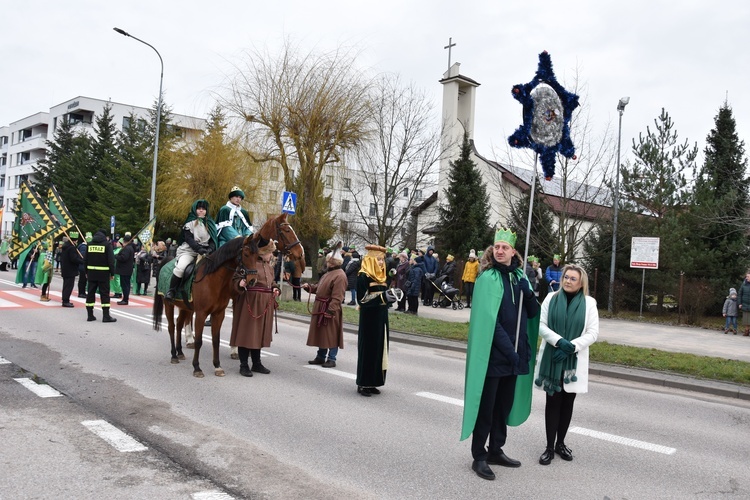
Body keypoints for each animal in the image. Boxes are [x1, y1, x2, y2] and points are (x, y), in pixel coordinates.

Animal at [153, 236, 262, 376]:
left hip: (184, 307)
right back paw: (174, 355)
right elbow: (198, 341)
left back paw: (180, 352)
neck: (214, 279)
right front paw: (197, 367)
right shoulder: (201, 314)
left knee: (179, 324)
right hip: (168, 304)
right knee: (171, 327)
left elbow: (216, 340)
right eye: (246, 254)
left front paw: (217, 366)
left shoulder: (218, 314)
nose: (252, 280)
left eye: (258, 256)